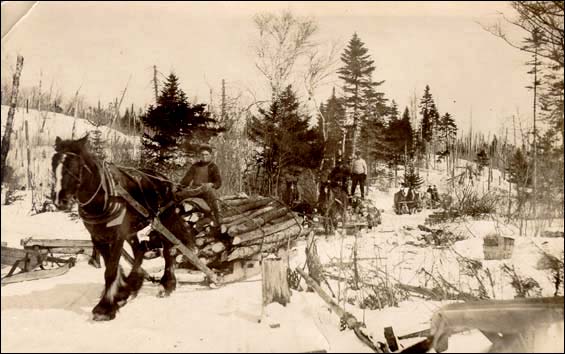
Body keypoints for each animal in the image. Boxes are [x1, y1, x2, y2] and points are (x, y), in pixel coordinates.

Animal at [51, 135, 196, 320]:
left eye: (75, 167)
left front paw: (105, 307)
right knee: (140, 250)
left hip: (164, 220)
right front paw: (120, 293)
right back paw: (133, 283)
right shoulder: (97, 237)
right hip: (132, 230)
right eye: (53, 164)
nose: (59, 200)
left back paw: (166, 284)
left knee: (168, 251)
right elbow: (111, 267)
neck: (104, 198)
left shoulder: (118, 236)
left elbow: (111, 270)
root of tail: (164, 179)